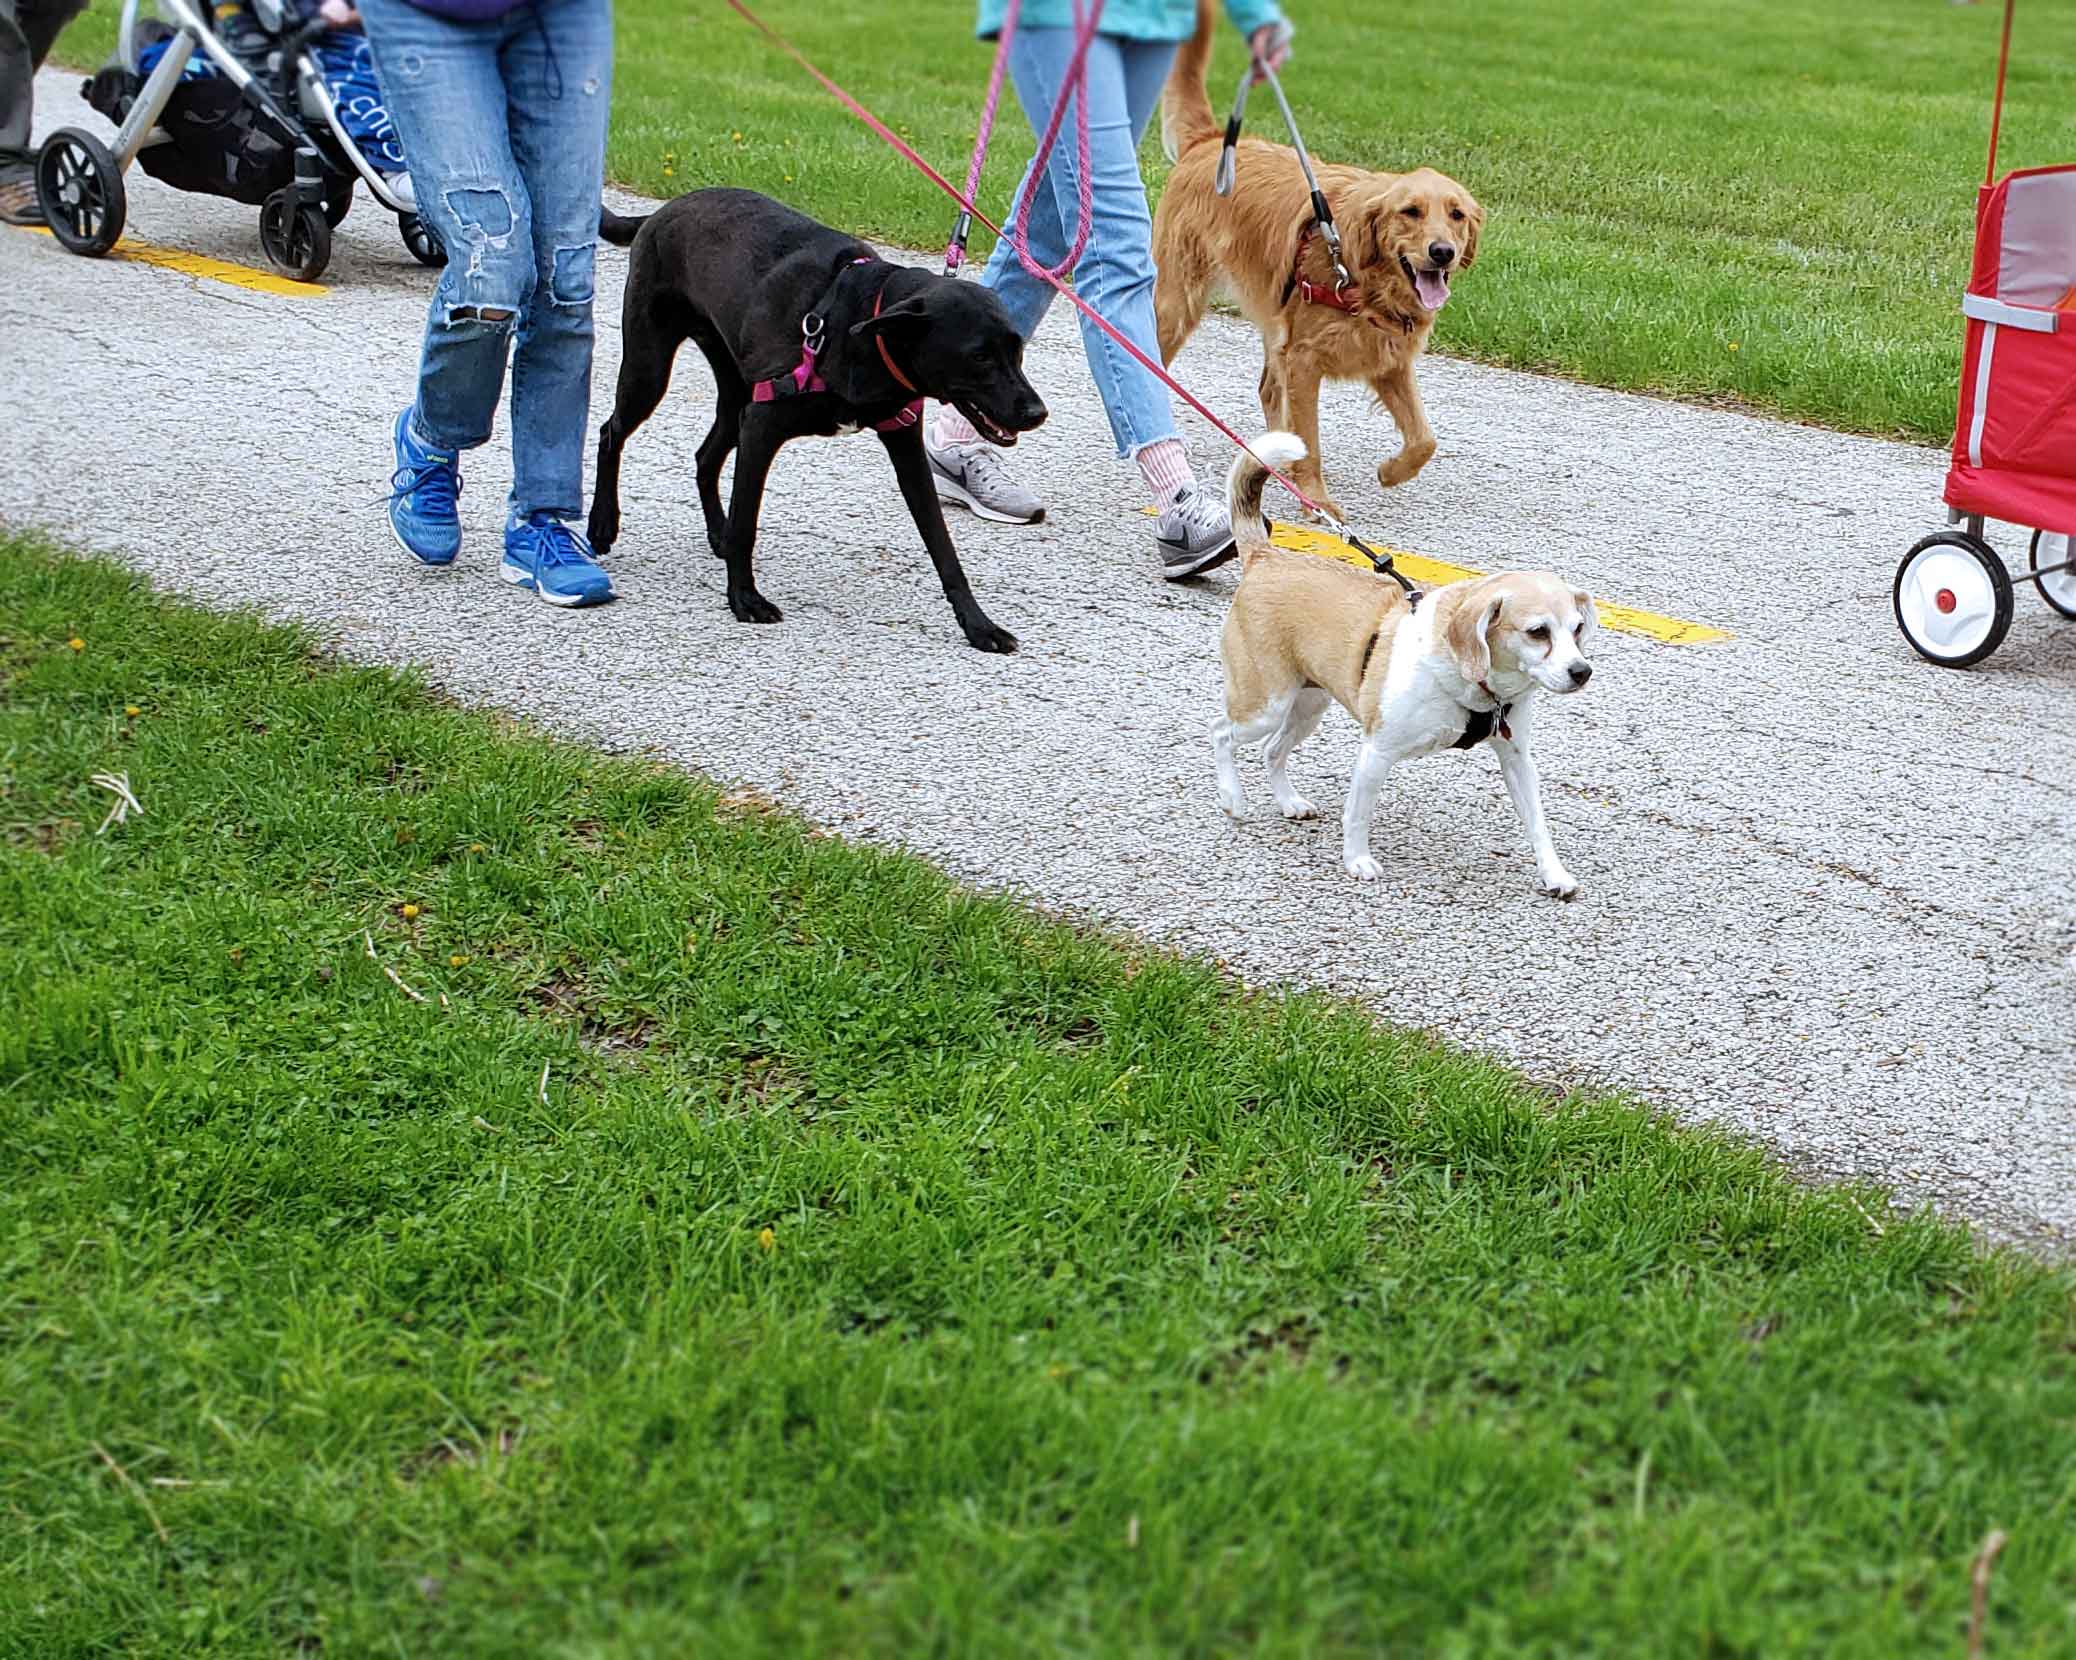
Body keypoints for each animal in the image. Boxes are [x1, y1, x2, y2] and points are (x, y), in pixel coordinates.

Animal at [602, 195, 1054, 655]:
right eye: (979, 356)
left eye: (1017, 350)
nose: (1037, 412)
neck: (864, 328)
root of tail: (665, 210)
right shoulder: (762, 427)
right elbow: (748, 522)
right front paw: (744, 598)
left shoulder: (905, 446)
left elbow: (943, 547)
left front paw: (978, 625)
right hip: (650, 370)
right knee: (611, 432)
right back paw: (602, 524)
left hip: (736, 397)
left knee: (705, 455)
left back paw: (717, 534)